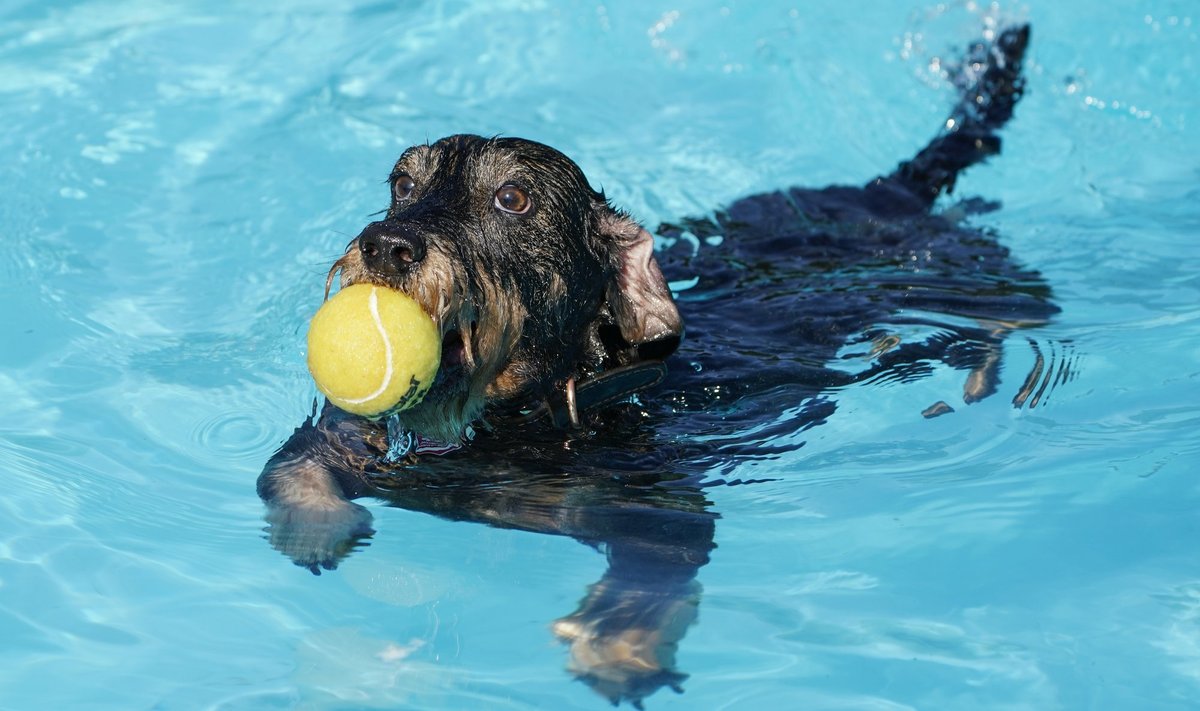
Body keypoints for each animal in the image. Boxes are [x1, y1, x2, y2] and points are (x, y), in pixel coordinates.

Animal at [258, 24, 1056, 706]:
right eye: (402, 183)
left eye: (512, 197)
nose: (386, 244)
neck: (506, 425)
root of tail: (882, 189)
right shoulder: (345, 435)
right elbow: (287, 469)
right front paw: (320, 527)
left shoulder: (663, 510)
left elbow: (653, 577)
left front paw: (619, 643)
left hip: (964, 276)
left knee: (1016, 309)